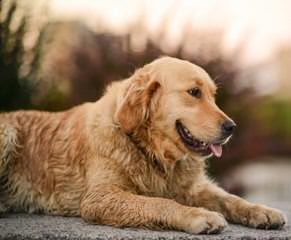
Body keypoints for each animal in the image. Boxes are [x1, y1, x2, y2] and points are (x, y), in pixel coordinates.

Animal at [0, 57, 288, 233]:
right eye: (194, 92)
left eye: (213, 96)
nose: (231, 127)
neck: (151, 150)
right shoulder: (100, 198)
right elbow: (160, 203)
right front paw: (198, 216)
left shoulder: (193, 187)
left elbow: (230, 198)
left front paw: (262, 211)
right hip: (8, 133)